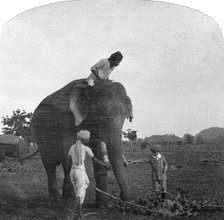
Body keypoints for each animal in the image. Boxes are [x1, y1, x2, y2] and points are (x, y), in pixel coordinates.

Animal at [31, 78, 133, 206]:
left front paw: (101, 205)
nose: (120, 196)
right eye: (100, 115)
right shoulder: (67, 120)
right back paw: (55, 201)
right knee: (49, 165)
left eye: (126, 117)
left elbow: (96, 154)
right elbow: (69, 156)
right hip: (39, 134)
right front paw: (70, 201)